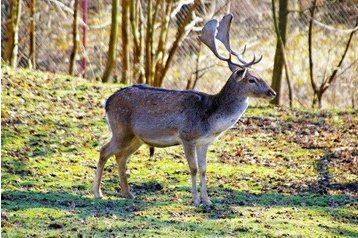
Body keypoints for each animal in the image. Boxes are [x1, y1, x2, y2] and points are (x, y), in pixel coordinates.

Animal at [93, 13, 276, 205]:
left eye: (260, 75)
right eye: (251, 79)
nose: (272, 92)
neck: (210, 121)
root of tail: (107, 102)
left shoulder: (205, 142)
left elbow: (204, 169)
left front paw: (208, 201)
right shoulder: (187, 136)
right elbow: (193, 168)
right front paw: (195, 200)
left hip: (137, 138)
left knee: (120, 157)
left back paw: (127, 193)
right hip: (121, 130)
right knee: (104, 151)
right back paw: (98, 192)